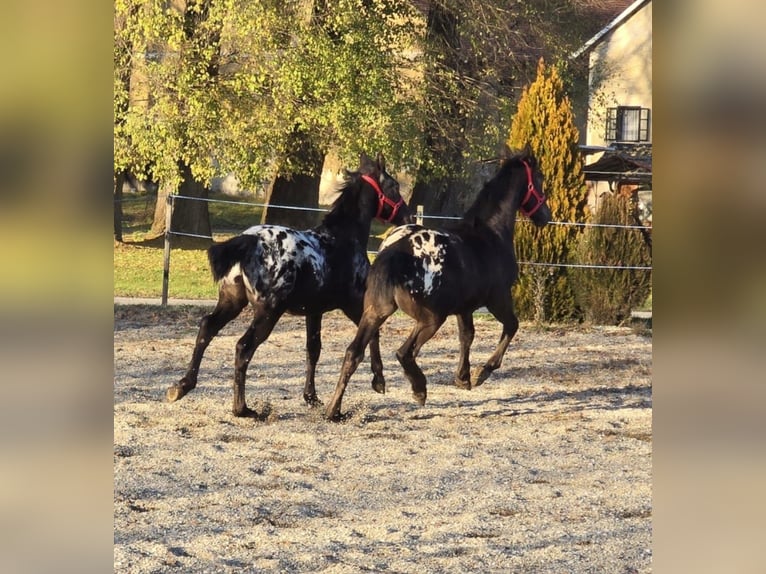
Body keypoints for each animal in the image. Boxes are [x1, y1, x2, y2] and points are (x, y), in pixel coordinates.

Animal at [166, 152, 413, 417]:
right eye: (394, 186)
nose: (408, 217)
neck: (341, 239)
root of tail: (249, 241)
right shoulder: (354, 304)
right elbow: (373, 335)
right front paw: (379, 381)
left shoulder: (314, 311)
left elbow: (313, 349)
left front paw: (311, 397)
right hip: (268, 312)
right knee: (243, 347)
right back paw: (243, 408)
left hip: (231, 302)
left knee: (207, 328)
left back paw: (181, 386)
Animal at [325, 147, 552, 420]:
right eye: (539, 179)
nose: (546, 216)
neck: (491, 234)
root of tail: (391, 254)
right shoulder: (498, 298)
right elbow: (511, 327)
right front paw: (482, 372)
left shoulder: (465, 307)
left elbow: (467, 336)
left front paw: (463, 378)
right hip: (431, 318)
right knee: (404, 352)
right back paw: (419, 389)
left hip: (375, 312)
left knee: (354, 353)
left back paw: (334, 409)